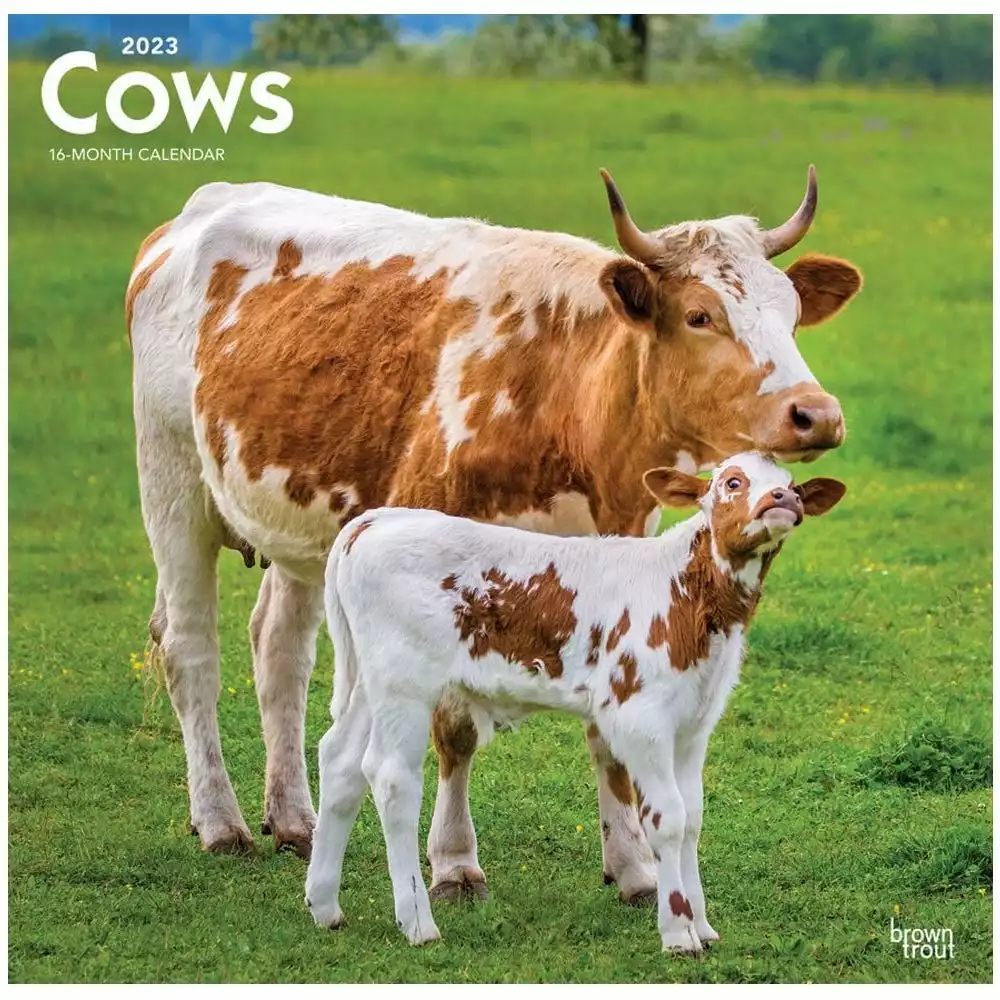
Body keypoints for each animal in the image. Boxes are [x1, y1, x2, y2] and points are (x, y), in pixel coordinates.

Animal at [305, 453, 847, 948]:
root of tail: (377, 521)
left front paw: (703, 925)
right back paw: (418, 924)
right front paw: (678, 933)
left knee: (341, 762)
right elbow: (667, 818)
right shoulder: (639, 718)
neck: (690, 596)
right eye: (733, 481)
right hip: (405, 683)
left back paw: (325, 906)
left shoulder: (694, 724)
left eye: (792, 482)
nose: (783, 499)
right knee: (392, 777)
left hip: (369, 683)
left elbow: (692, 818)